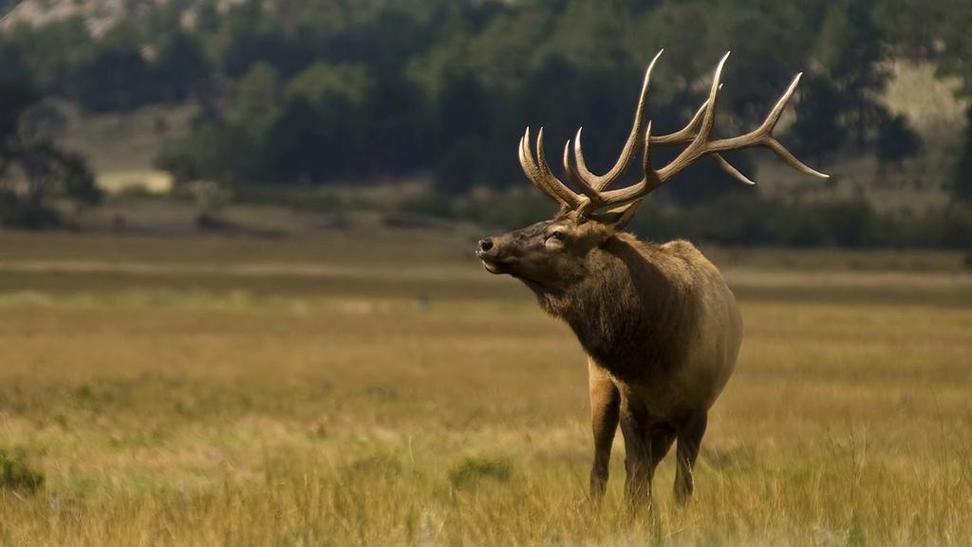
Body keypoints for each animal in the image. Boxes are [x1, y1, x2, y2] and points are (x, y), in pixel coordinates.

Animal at [475, 51, 828, 509]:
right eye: (543, 220)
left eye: (557, 234)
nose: (487, 243)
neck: (655, 354)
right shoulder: (632, 403)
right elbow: (635, 482)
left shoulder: (698, 409)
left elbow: (680, 487)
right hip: (600, 386)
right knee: (601, 467)